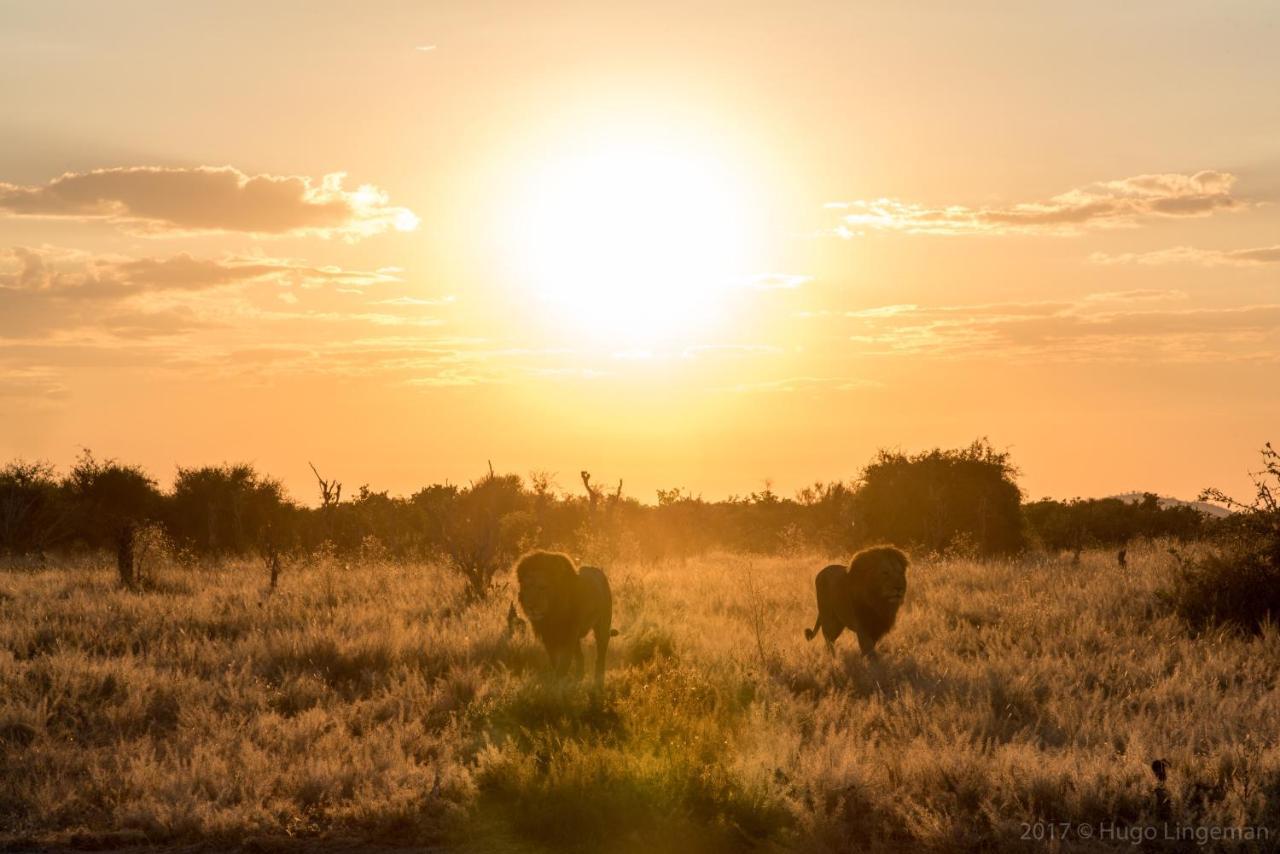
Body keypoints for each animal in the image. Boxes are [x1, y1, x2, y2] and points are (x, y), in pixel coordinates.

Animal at [514, 555, 614, 686]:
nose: (531, 607)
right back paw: (579, 676)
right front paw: (558, 682)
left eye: (542, 587)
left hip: (602, 625)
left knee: (601, 651)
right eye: (526, 587)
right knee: (580, 656)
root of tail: (599, 572)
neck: (551, 615)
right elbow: (554, 660)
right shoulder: (548, 636)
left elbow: (564, 661)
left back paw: (598, 679)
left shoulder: (569, 634)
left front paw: (560, 683)